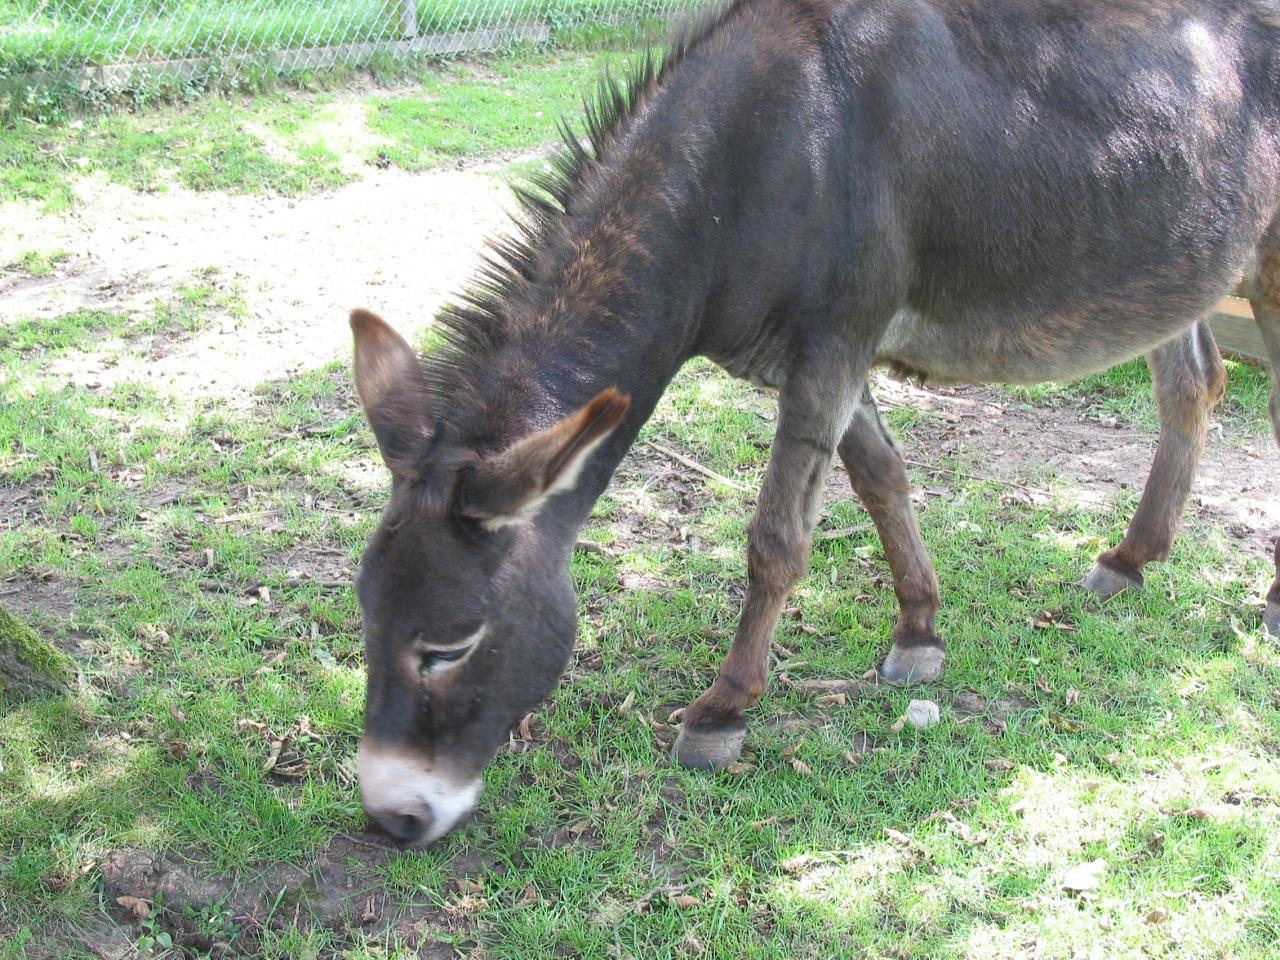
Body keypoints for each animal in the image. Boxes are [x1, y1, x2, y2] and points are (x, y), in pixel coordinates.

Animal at [348, 0, 1280, 847]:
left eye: (450, 646)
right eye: (365, 618)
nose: (392, 819)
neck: (750, 160)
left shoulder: (835, 344)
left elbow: (777, 541)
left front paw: (724, 711)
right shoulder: (815, 360)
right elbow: (880, 478)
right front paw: (919, 628)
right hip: (1176, 271)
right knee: (1191, 387)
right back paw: (1131, 558)